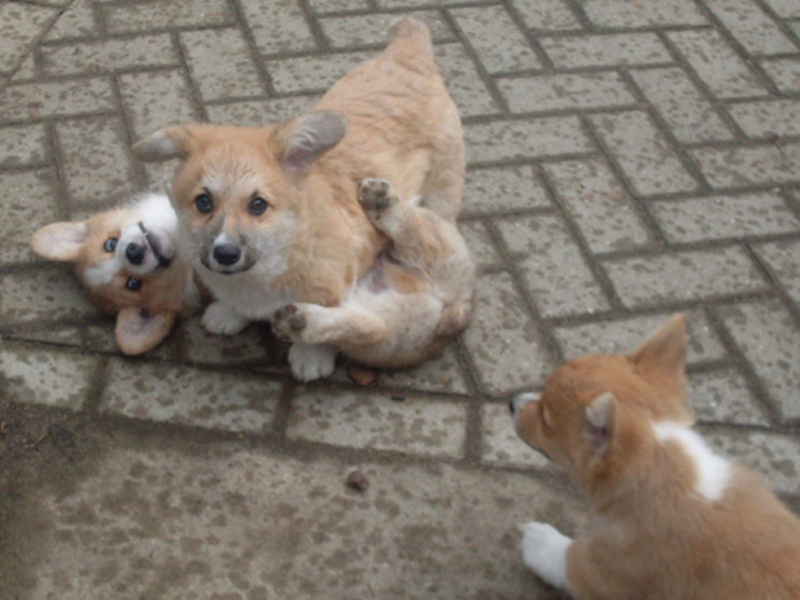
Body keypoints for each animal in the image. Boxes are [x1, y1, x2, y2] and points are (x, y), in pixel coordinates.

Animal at [128, 19, 472, 384]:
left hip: (438, 217)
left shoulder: (336, 286)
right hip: (399, 329)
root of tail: (409, 52)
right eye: (204, 202)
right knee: (373, 328)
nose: (225, 254)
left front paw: (311, 356)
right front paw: (230, 314)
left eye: (258, 205)